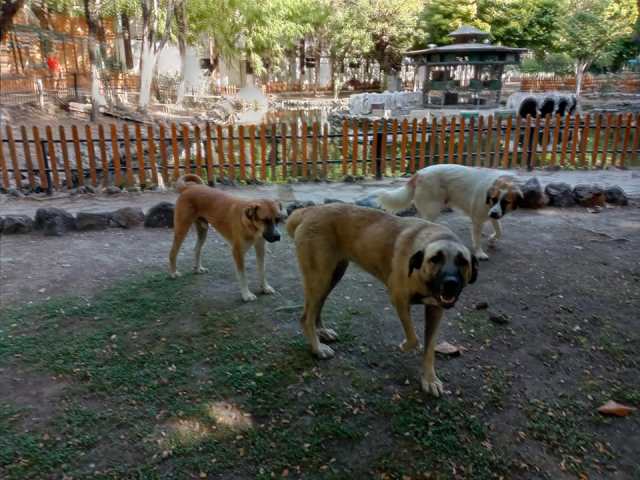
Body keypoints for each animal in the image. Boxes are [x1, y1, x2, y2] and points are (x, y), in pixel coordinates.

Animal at [168, 174, 284, 302]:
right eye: (265, 220)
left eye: (278, 219)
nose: (277, 236)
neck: (251, 226)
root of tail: (188, 188)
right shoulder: (237, 253)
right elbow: (243, 276)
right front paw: (246, 294)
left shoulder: (260, 249)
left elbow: (262, 270)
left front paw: (265, 287)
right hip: (182, 229)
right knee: (172, 252)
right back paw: (173, 273)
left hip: (203, 231)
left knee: (196, 249)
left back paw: (198, 269)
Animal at [288, 202, 478, 394]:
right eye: (435, 259)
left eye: (463, 262)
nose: (450, 283)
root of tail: (308, 210)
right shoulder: (398, 298)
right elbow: (414, 339)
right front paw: (405, 346)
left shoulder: (435, 310)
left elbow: (430, 347)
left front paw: (429, 379)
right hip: (320, 277)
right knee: (305, 317)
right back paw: (317, 348)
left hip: (333, 276)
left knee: (317, 308)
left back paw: (322, 332)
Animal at [378, 167, 524, 260]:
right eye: (494, 199)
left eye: (506, 202)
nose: (493, 213)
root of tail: (420, 173)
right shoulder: (478, 220)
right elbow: (477, 239)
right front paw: (479, 253)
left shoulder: (493, 214)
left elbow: (500, 230)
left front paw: (492, 239)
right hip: (433, 210)